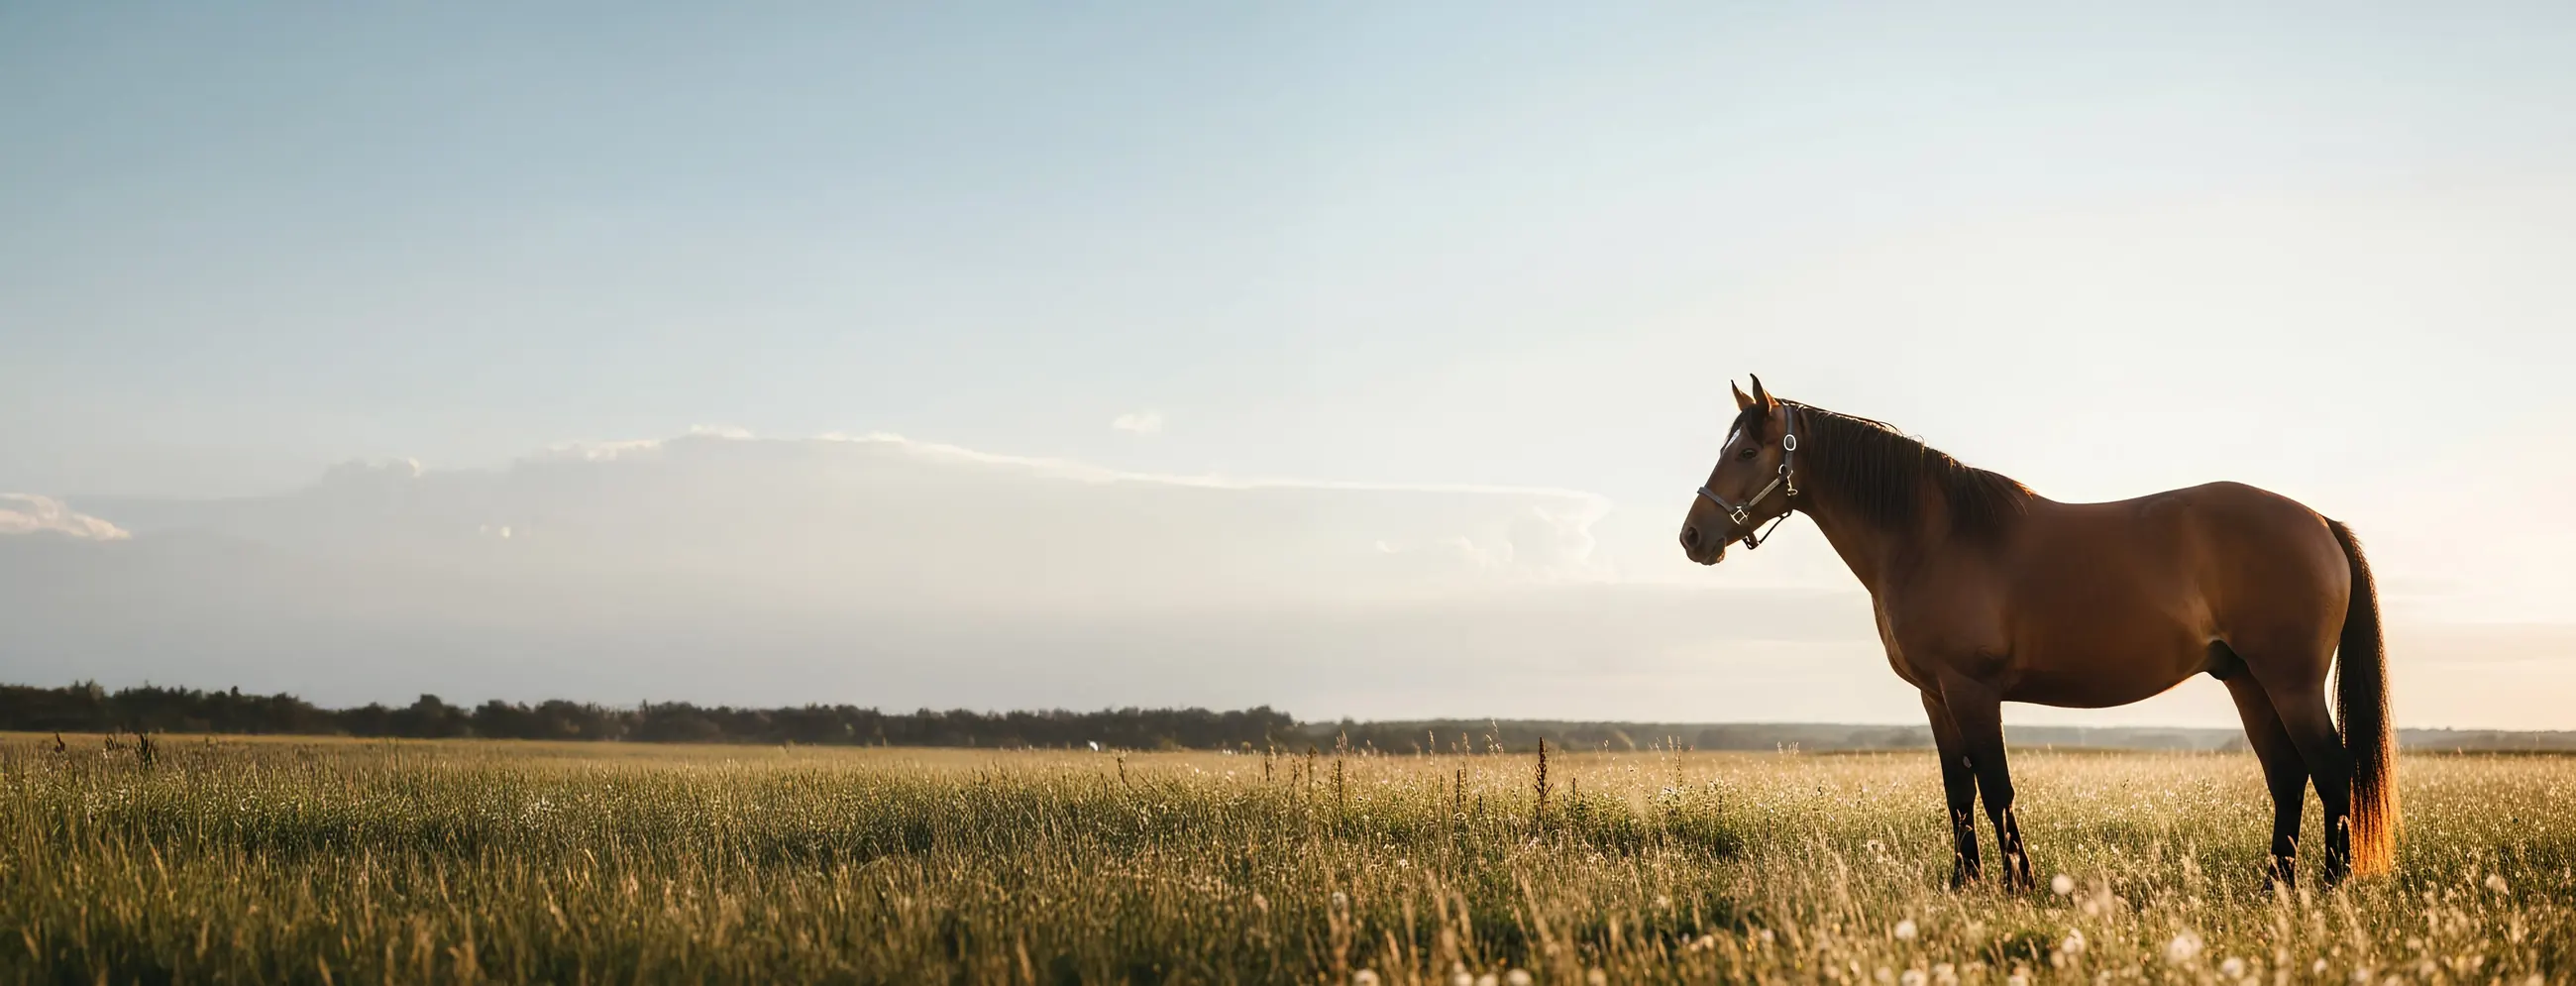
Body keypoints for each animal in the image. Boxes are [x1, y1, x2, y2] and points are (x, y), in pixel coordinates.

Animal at [1678, 376, 2395, 889]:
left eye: (1747, 451)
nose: (1693, 536)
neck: (1931, 537)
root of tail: (2319, 521)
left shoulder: (1971, 690)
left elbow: (1995, 788)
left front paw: (2018, 884)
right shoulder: (1935, 696)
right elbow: (1959, 790)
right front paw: (1963, 883)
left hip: (2289, 682)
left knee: (2331, 771)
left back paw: (2330, 885)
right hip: (2245, 679)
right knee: (2288, 775)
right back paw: (2277, 884)